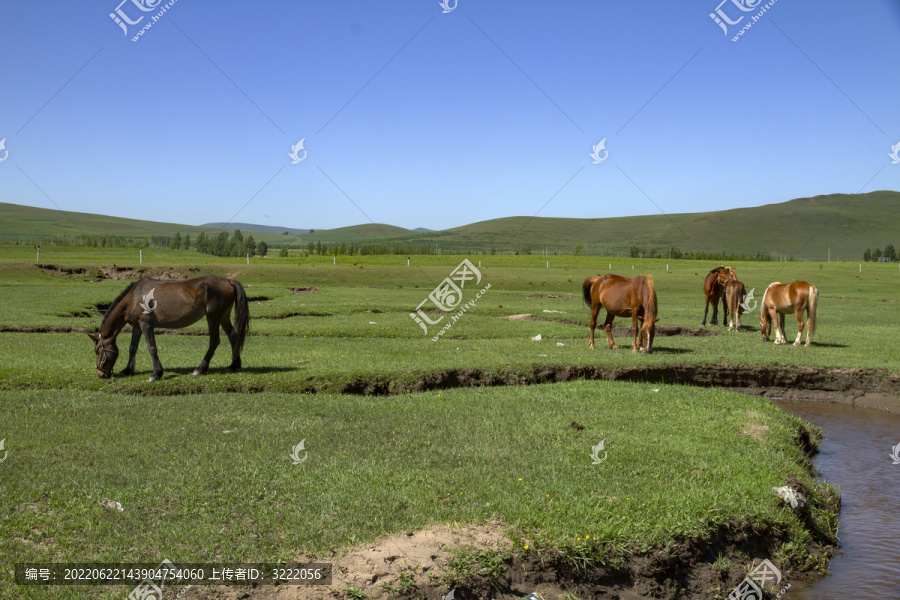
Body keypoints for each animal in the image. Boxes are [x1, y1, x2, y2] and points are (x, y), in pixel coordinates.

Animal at [89, 276, 250, 382]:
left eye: (97, 351)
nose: (100, 373)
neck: (133, 298)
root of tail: (228, 281)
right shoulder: (137, 326)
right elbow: (132, 348)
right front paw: (127, 370)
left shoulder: (146, 325)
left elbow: (151, 348)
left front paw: (156, 374)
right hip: (223, 317)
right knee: (233, 336)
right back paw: (233, 365)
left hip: (213, 318)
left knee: (214, 341)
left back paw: (200, 369)